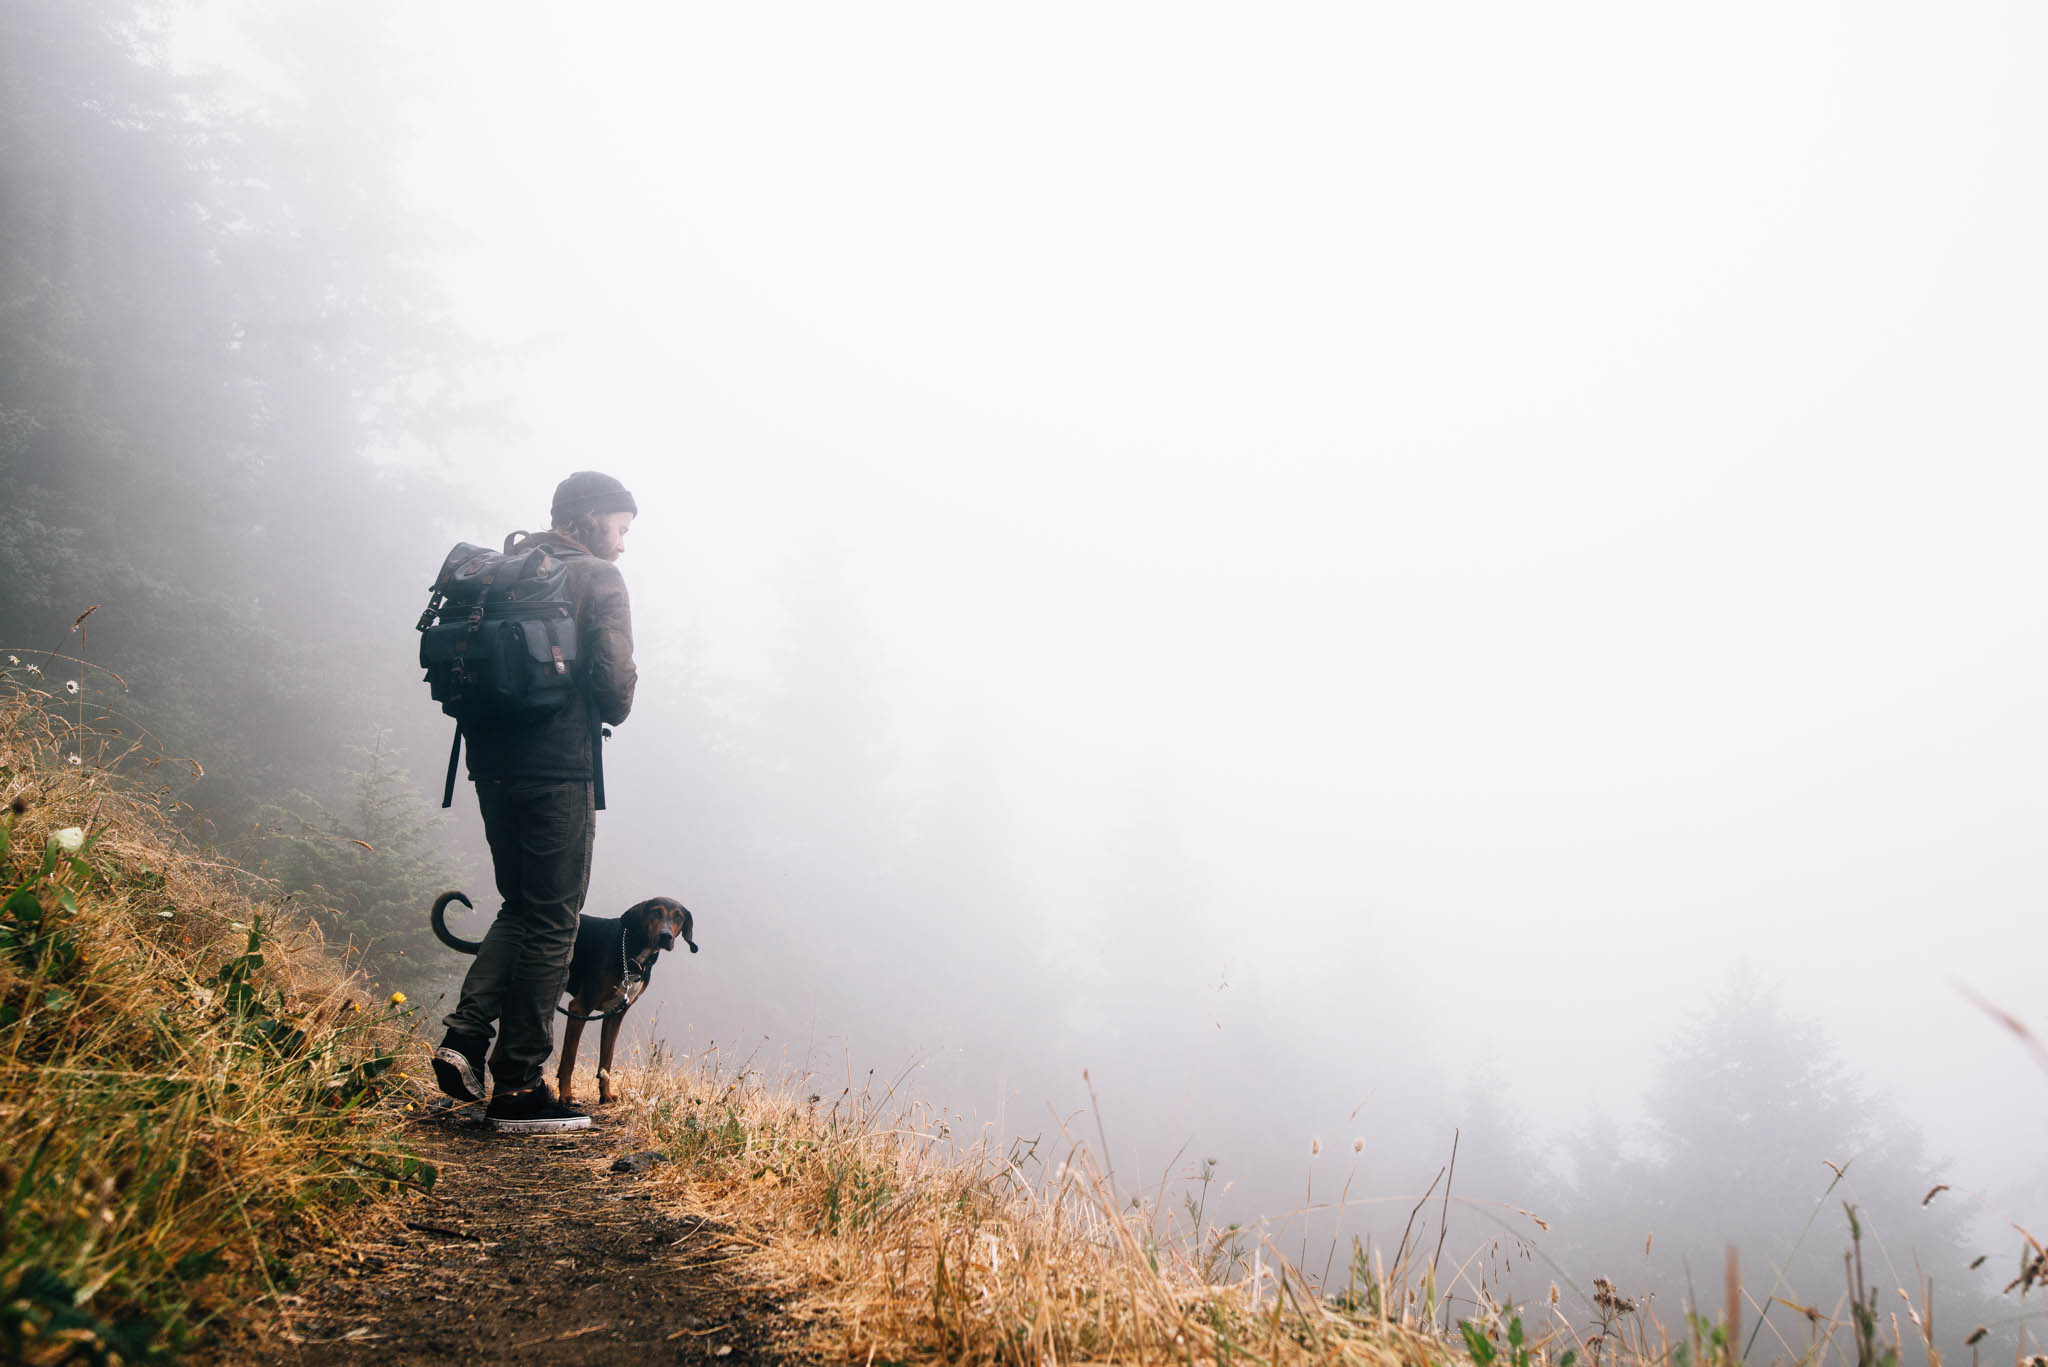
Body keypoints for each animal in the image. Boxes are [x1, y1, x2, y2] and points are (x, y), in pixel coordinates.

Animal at [428, 893, 700, 1106]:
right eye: (655, 912)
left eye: (678, 917)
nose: (666, 936)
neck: (631, 953)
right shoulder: (579, 1008)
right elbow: (568, 1059)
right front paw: (566, 1096)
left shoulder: (615, 1015)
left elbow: (606, 1061)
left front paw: (605, 1095)